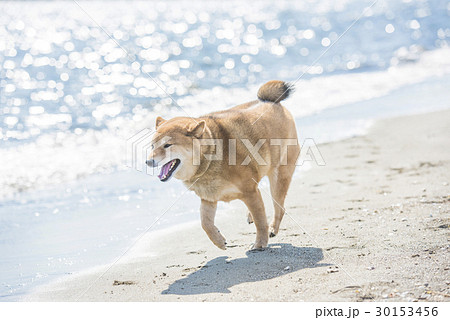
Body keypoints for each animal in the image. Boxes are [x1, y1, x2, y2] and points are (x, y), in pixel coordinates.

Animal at [148, 80, 300, 250]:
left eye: (167, 145)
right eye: (152, 146)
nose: (148, 161)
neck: (209, 159)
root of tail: (272, 103)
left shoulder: (249, 192)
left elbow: (261, 222)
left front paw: (260, 243)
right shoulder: (208, 198)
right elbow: (205, 223)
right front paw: (219, 241)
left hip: (279, 177)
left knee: (279, 207)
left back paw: (273, 228)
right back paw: (250, 216)